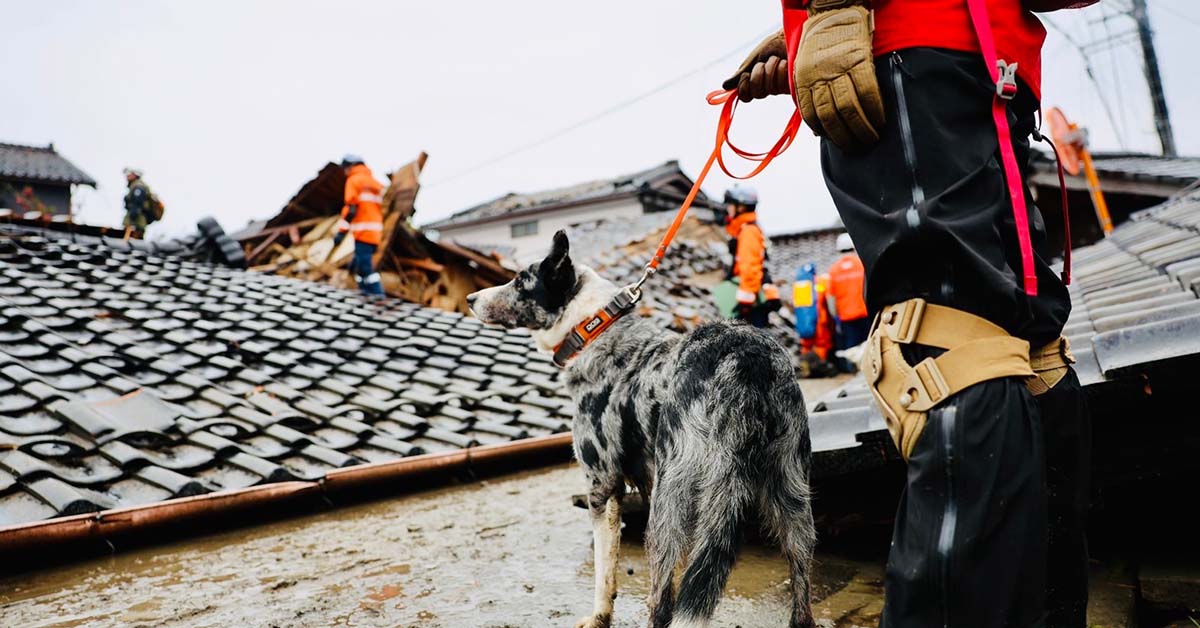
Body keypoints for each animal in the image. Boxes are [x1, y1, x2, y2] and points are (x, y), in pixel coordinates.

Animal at [468, 230, 816, 628]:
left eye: (519, 282)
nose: (470, 299)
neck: (592, 329)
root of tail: (745, 357)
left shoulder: (602, 487)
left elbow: (605, 571)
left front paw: (598, 617)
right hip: (792, 495)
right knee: (801, 586)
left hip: (672, 499)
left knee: (662, 597)